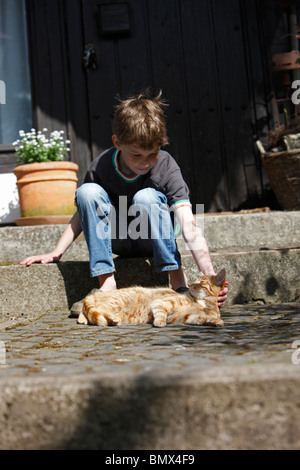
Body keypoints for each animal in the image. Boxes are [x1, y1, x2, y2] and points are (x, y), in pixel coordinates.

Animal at [77, 268, 225, 326]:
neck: (203, 302)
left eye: (201, 282)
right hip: (116, 302)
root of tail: (95, 294)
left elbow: (201, 318)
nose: (190, 284)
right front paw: (159, 322)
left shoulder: (184, 317)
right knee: (98, 309)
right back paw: (112, 319)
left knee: (88, 312)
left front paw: (215, 322)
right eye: (195, 280)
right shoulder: (163, 303)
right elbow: (160, 311)